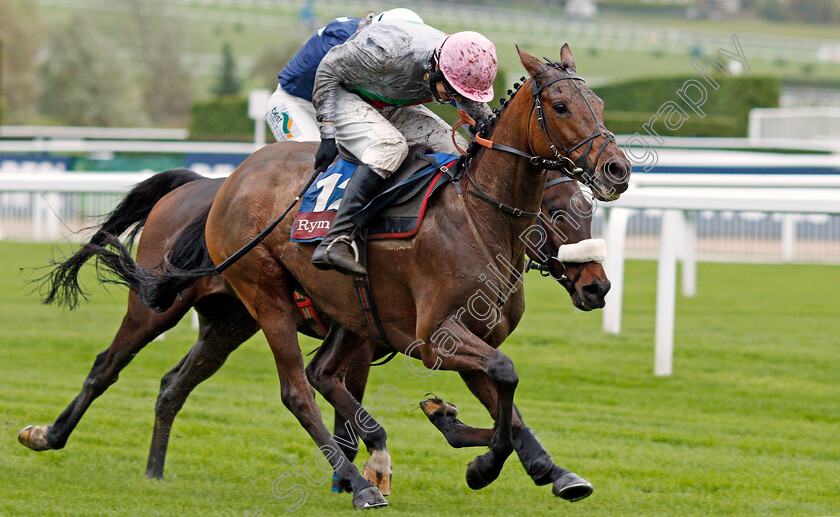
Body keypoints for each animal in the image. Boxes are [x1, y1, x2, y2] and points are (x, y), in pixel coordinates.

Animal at [19, 46, 632, 510]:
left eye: (601, 102)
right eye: (560, 104)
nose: (616, 169)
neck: (479, 216)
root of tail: (221, 182)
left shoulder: (451, 335)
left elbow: (506, 399)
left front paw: (544, 468)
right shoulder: (433, 337)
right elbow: (499, 380)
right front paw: (471, 460)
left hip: (231, 317)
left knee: (177, 383)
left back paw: (154, 469)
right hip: (224, 300)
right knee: (253, 384)